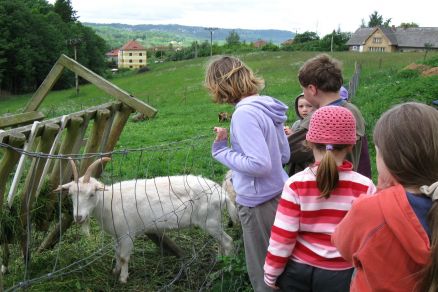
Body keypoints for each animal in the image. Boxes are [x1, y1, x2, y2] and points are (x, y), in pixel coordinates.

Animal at [57, 157, 238, 282]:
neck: (108, 201)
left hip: (210, 220)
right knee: (221, 242)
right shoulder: (118, 234)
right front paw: (115, 271)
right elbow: (117, 253)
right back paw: (219, 261)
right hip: (213, 221)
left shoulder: (128, 233)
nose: (78, 217)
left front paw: (123, 278)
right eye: (71, 194)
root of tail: (222, 193)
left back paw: (227, 268)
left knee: (228, 242)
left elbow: (124, 256)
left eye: (91, 194)